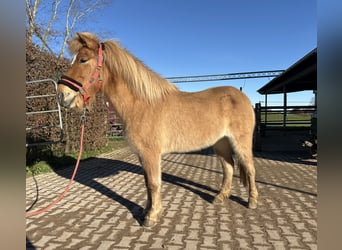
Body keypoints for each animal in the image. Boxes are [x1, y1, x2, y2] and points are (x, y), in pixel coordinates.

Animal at [57, 32, 258, 228]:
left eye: (83, 60)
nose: (62, 95)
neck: (142, 105)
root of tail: (242, 97)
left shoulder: (151, 153)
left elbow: (154, 184)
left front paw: (151, 217)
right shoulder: (143, 155)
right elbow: (147, 183)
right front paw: (147, 211)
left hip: (240, 142)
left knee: (249, 168)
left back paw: (252, 201)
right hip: (221, 143)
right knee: (228, 167)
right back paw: (220, 197)